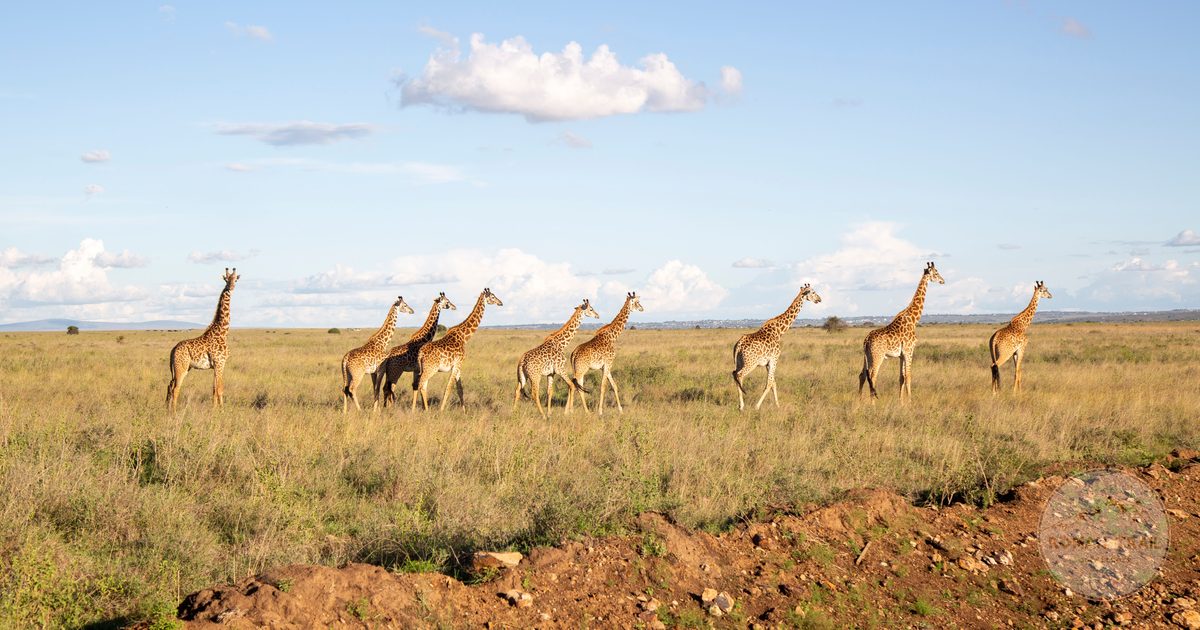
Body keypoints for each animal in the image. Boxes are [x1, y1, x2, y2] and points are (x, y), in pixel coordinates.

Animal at [166, 267, 238, 412]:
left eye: (235, 280)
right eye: (227, 279)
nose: (231, 287)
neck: (222, 332)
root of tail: (173, 350)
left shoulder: (217, 365)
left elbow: (214, 389)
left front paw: (215, 409)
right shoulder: (220, 363)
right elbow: (220, 389)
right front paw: (221, 411)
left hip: (182, 368)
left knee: (170, 385)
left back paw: (167, 409)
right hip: (181, 367)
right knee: (175, 388)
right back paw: (174, 412)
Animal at [858, 262, 945, 402]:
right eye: (936, 273)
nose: (943, 281)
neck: (914, 319)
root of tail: (866, 340)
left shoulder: (901, 355)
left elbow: (901, 378)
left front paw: (901, 402)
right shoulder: (909, 351)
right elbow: (909, 377)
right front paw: (910, 402)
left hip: (867, 356)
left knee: (862, 375)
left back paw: (859, 401)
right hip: (878, 356)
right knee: (873, 376)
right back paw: (872, 403)